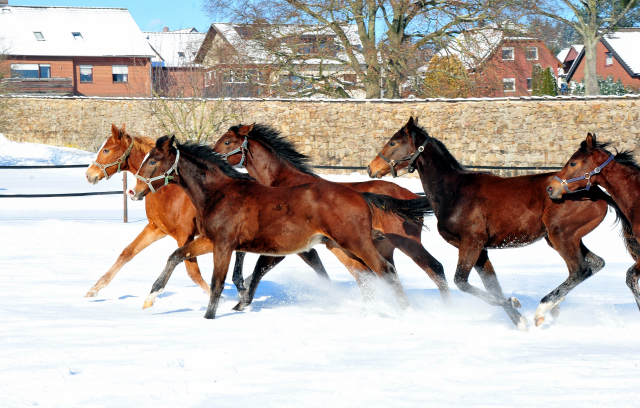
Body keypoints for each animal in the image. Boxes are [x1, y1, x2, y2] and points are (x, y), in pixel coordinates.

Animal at [85, 123, 330, 300]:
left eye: (106, 150)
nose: (89, 175)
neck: (171, 191)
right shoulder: (157, 229)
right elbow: (127, 253)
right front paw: (94, 289)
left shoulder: (185, 235)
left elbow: (191, 270)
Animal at [129, 136, 430, 318]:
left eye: (153, 160)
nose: (134, 191)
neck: (220, 193)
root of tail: (361, 195)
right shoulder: (209, 240)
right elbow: (176, 256)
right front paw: (150, 297)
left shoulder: (225, 245)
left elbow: (217, 282)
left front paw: (209, 316)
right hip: (343, 245)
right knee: (369, 274)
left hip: (355, 242)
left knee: (385, 271)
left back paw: (407, 312)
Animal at [211, 124, 450, 310]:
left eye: (227, 142)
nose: (212, 157)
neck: (283, 183)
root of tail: (410, 195)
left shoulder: (288, 245)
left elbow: (262, 267)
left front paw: (241, 299)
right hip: (378, 247)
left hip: (405, 243)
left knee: (434, 268)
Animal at [370, 116, 616, 330]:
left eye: (393, 142)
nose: (371, 168)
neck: (455, 190)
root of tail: (596, 190)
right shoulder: (481, 251)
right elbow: (493, 286)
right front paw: (518, 319)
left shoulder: (472, 242)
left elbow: (462, 282)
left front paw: (515, 304)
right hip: (565, 237)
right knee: (596, 263)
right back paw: (554, 305)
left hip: (560, 235)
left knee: (580, 269)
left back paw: (544, 309)